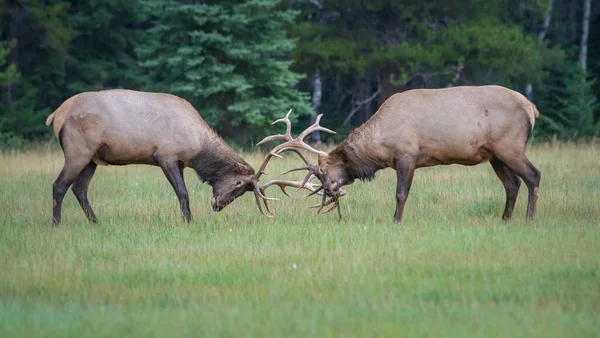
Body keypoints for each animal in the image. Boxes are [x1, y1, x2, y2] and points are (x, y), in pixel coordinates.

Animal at [44, 89, 312, 224]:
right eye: (238, 183)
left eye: (244, 191)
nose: (218, 204)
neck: (198, 147)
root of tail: (56, 114)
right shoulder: (166, 155)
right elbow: (182, 192)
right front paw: (188, 221)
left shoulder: (181, 162)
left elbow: (182, 192)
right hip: (78, 150)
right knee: (59, 185)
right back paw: (56, 223)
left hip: (93, 158)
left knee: (79, 188)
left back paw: (96, 222)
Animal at [264, 84, 540, 223]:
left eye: (322, 172)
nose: (331, 190)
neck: (380, 146)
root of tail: (532, 108)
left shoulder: (407, 155)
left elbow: (400, 194)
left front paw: (395, 221)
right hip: (495, 154)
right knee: (512, 184)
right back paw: (505, 219)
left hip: (510, 145)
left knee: (533, 176)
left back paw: (529, 219)